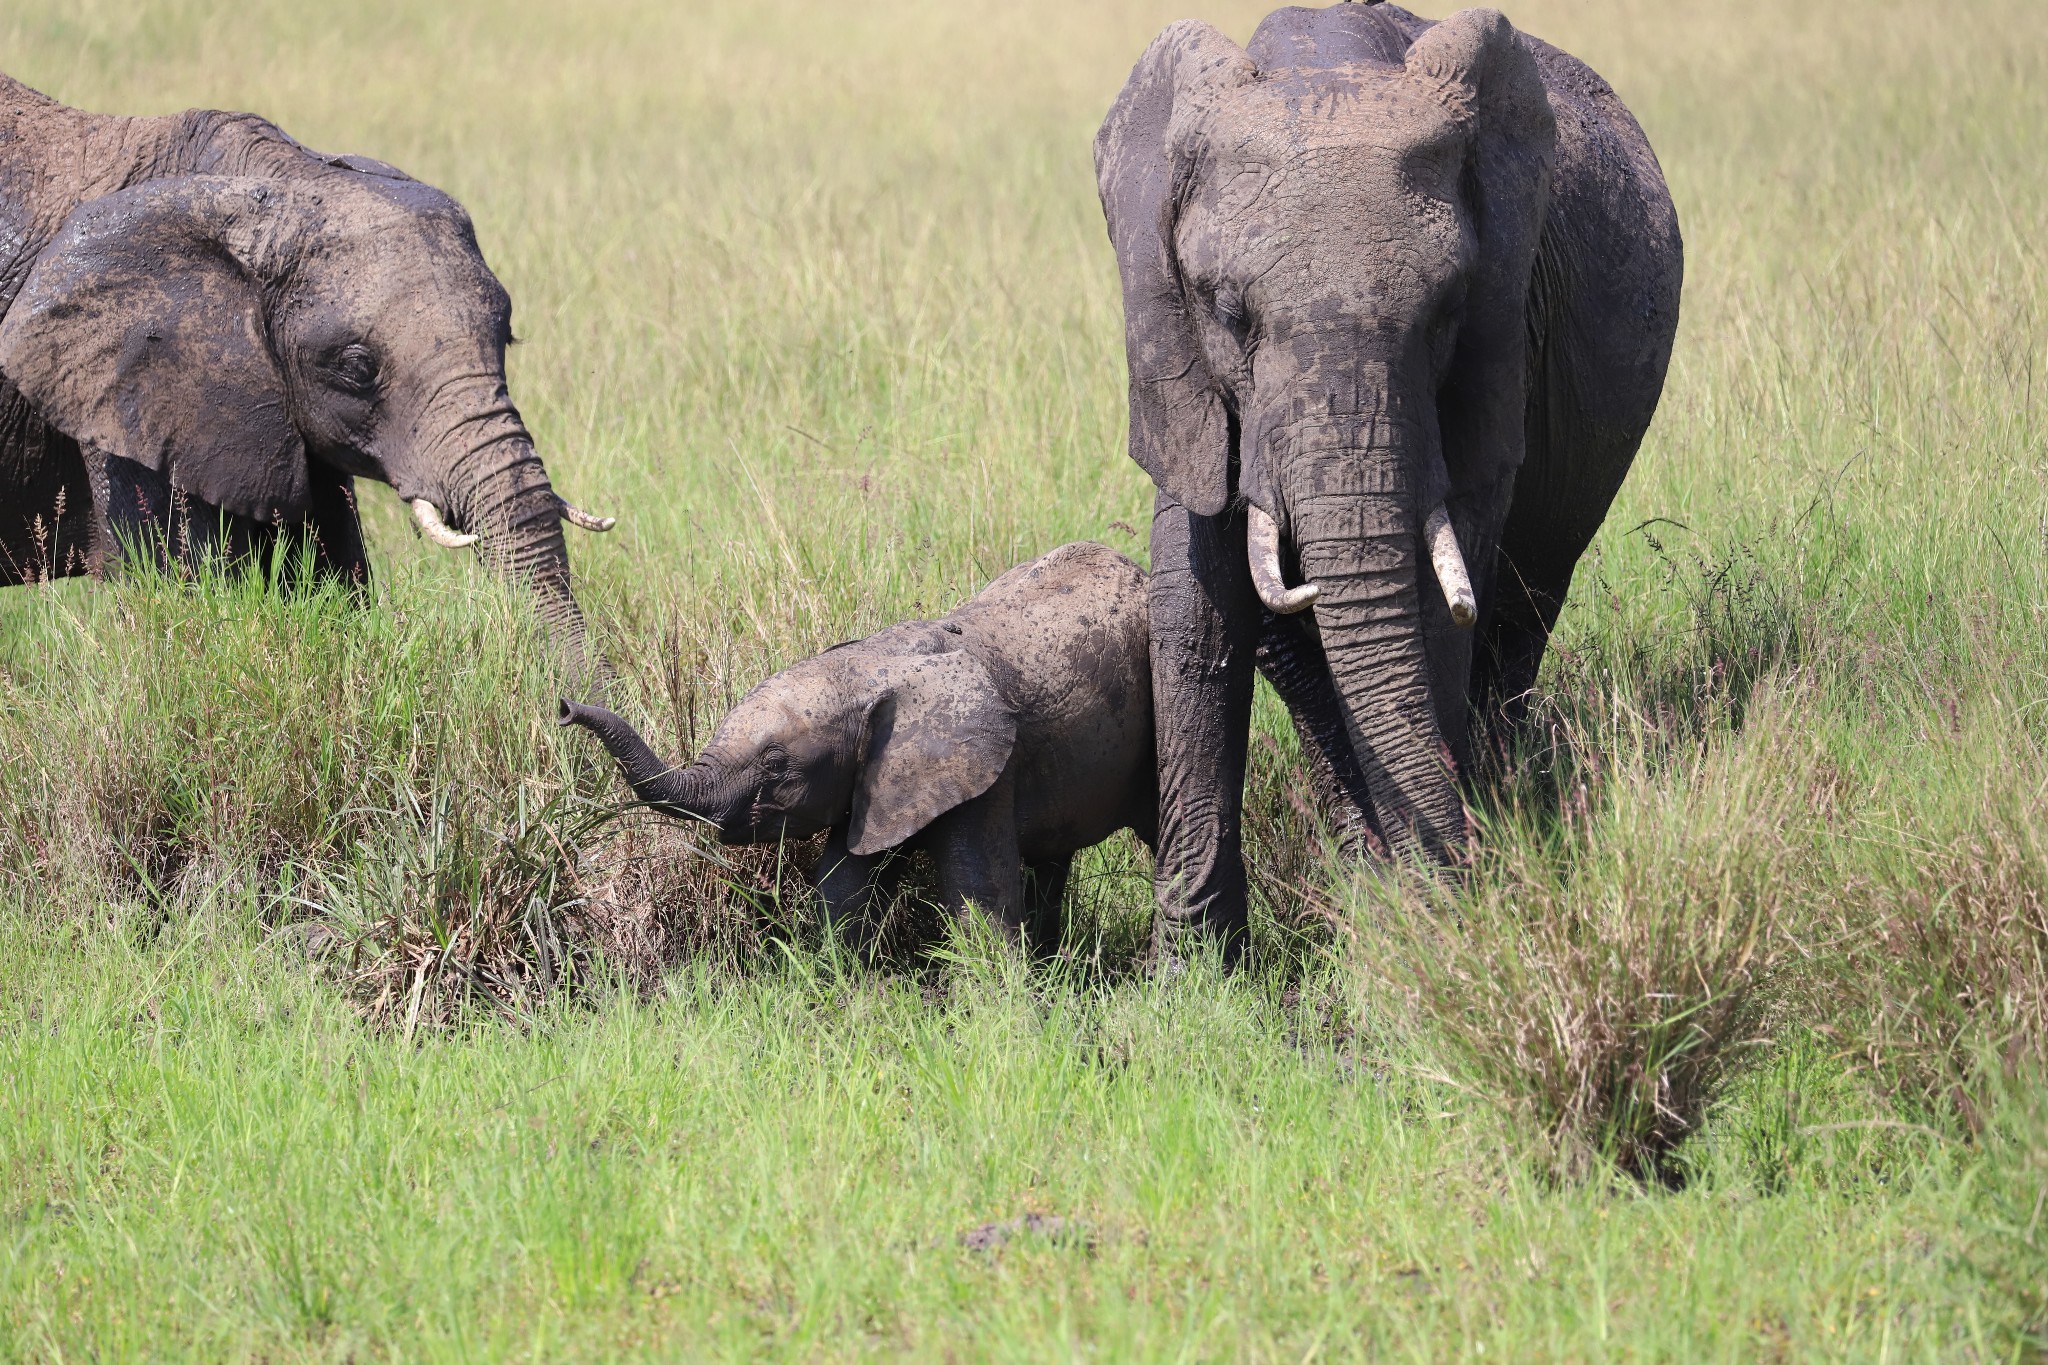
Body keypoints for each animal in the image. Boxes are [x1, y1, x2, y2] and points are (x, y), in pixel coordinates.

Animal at [561, 540, 1163, 949]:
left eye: (775, 764)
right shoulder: (872, 782)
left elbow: (981, 903)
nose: (564, 708)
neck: (874, 666)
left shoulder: (988, 773)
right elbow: (841, 888)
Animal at [1097, 5, 1687, 961]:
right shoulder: (1178, 360)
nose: (1464, 886)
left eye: (1447, 312)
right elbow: (1195, 609)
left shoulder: (1498, 343)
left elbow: (1438, 596)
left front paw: (1423, 919)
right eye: (1228, 313)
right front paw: (1193, 977)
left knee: (1518, 616)